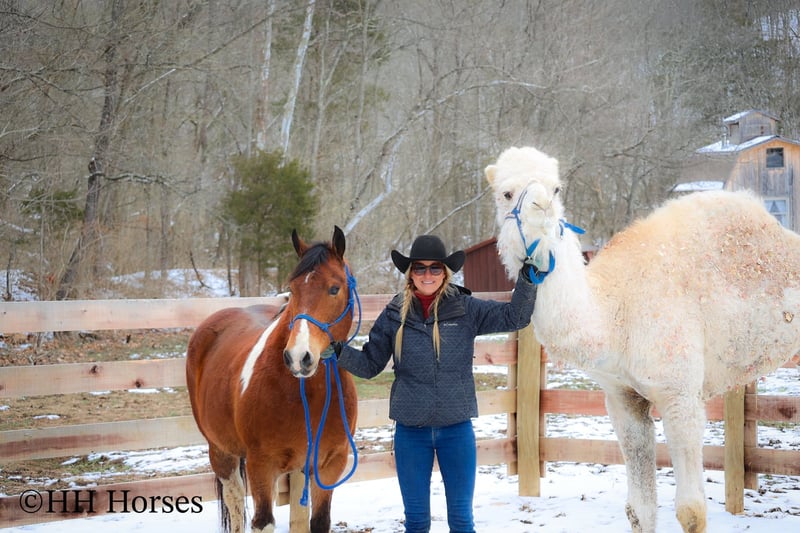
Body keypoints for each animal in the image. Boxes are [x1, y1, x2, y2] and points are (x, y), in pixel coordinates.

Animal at [186, 226, 359, 533]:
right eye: (293, 289)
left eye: (334, 288)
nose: (298, 357)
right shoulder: (261, 465)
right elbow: (262, 522)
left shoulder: (329, 465)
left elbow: (319, 521)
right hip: (221, 453)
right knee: (235, 503)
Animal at [485, 146, 800, 533]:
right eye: (506, 193)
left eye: (556, 189)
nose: (541, 206)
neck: (615, 315)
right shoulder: (622, 398)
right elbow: (640, 509)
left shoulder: (680, 394)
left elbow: (692, 511)